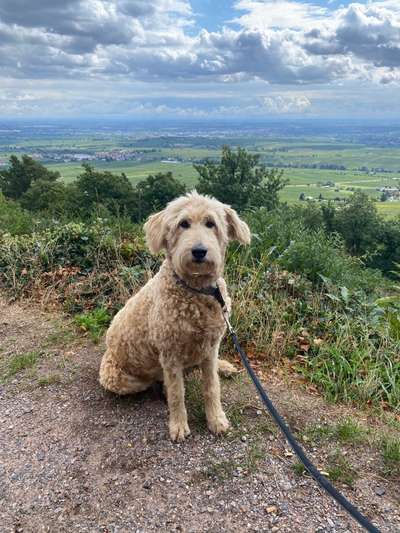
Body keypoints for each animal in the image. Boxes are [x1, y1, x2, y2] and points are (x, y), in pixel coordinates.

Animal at [99, 191, 250, 440]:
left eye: (211, 223)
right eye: (183, 224)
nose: (199, 251)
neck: (197, 291)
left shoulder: (211, 345)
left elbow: (212, 386)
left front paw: (216, 419)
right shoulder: (170, 355)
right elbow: (177, 393)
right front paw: (178, 425)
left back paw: (224, 367)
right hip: (118, 378)